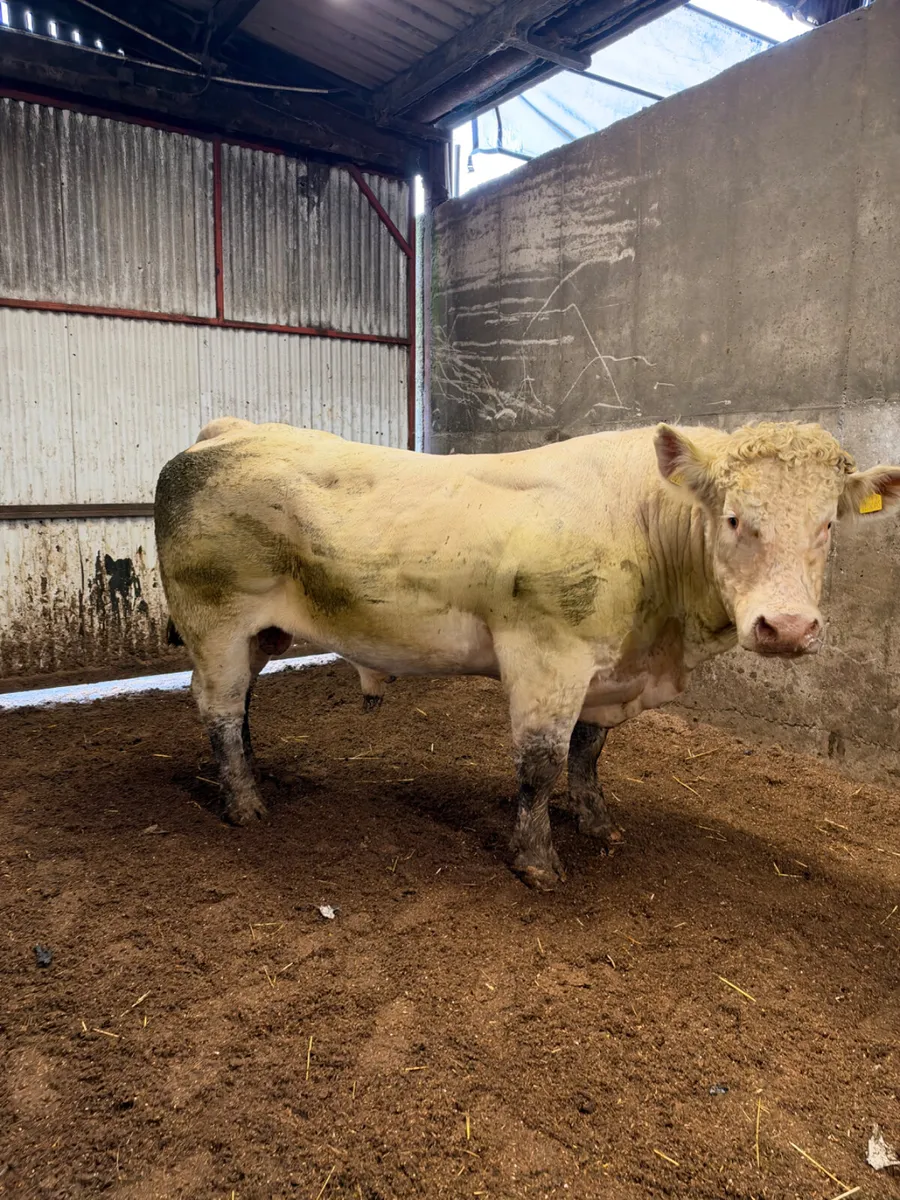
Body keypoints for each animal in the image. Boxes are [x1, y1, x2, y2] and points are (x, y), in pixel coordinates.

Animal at [154, 416, 900, 889]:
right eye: (736, 519)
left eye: (827, 526)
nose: (788, 627)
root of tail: (228, 431)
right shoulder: (548, 657)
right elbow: (541, 765)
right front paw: (538, 860)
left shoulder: (607, 670)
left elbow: (588, 754)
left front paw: (596, 822)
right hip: (216, 621)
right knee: (218, 708)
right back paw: (244, 803)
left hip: (256, 634)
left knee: (241, 709)